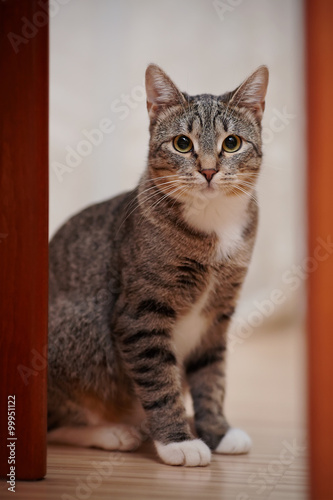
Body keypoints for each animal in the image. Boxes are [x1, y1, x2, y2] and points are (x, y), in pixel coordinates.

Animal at [47, 63, 268, 468]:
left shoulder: (218, 315)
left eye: (232, 143)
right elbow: (160, 380)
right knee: (54, 422)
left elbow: (211, 376)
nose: (209, 170)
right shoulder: (140, 314)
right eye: (182, 143)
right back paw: (113, 432)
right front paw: (178, 441)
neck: (213, 223)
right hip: (82, 326)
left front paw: (216, 429)